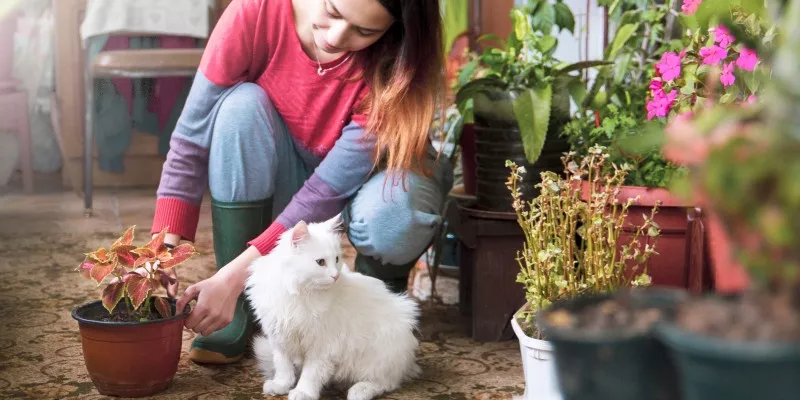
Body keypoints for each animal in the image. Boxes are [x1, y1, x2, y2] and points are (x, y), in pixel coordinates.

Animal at [244, 216, 422, 400]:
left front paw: (303, 392)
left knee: (385, 383)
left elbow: (311, 373)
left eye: (336, 259)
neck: (300, 292)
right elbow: (283, 367)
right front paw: (280, 386)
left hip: (380, 353)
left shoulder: (322, 345)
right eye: (320, 262)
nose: (335, 276)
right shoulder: (279, 338)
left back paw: (359, 391)